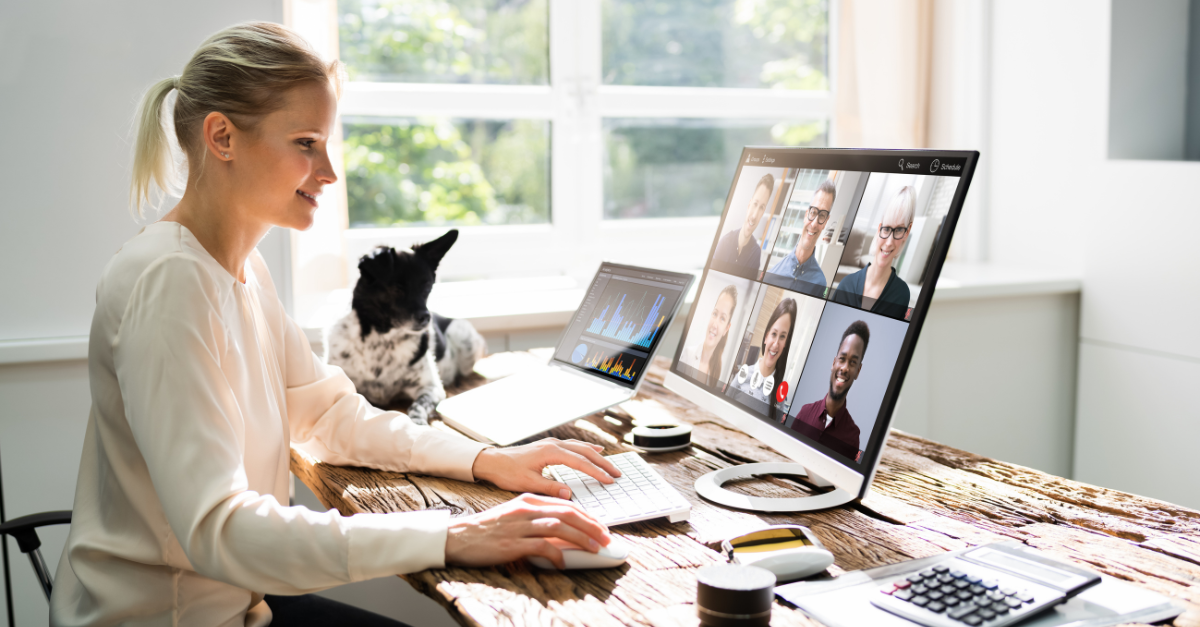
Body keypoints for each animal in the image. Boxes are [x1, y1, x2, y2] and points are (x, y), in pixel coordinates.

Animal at [326, 229, 484, 425]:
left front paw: (418, 423)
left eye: (428, 287)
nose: (426, 318)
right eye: (397, 288)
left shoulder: (431, 388)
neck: (382, 338)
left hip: (465, 337)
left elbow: (416, 406)